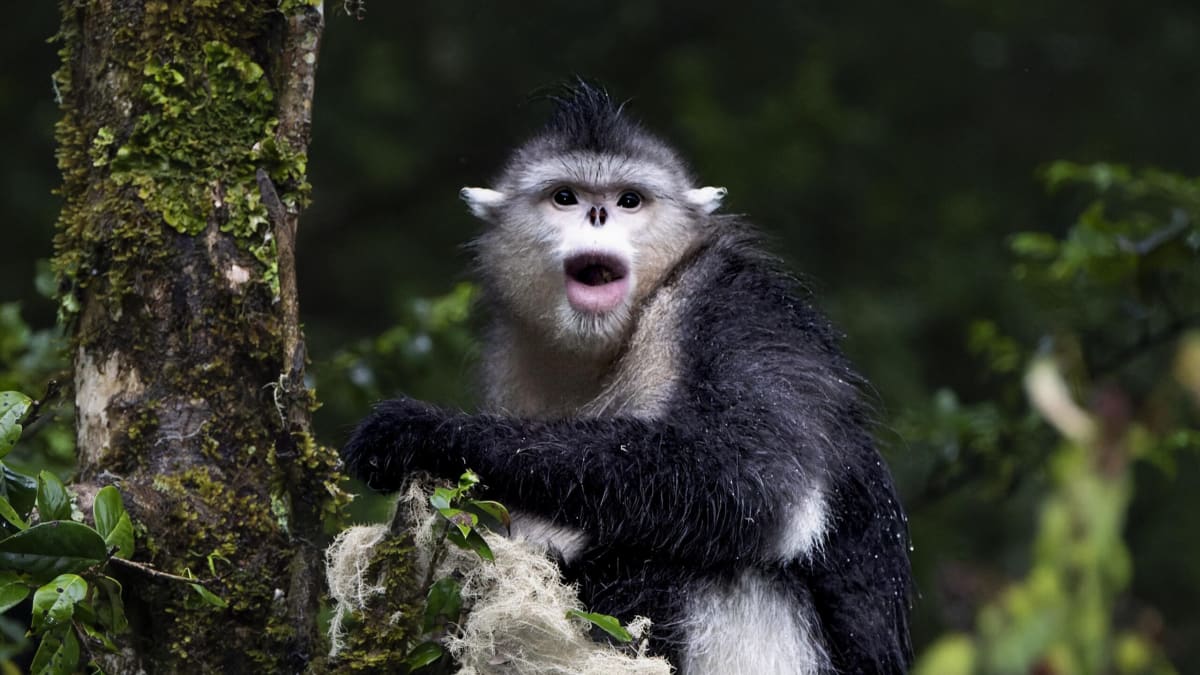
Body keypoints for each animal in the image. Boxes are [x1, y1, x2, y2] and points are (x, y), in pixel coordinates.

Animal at [342, 83, 912, 674]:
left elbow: (758, 479)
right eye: (565, 197)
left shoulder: (740, 308)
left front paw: (420, 432)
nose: (597, 214)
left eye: (629, 200)